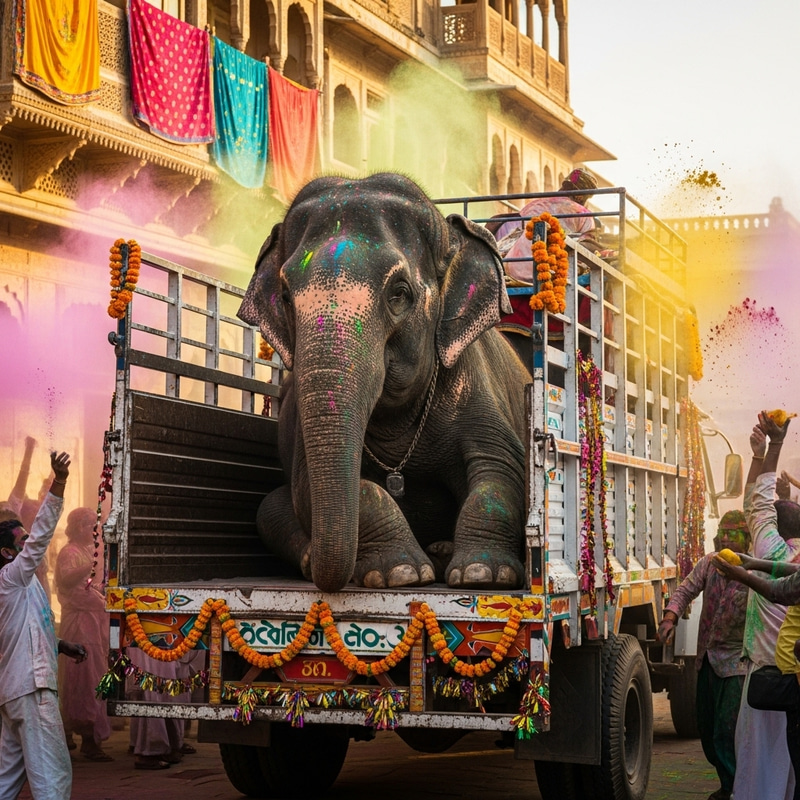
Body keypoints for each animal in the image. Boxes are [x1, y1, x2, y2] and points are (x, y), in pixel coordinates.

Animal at [237, 172, 532, 593]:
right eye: (286, 296)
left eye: (400, 293)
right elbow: (317, 487)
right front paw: (400, 574)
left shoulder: (476, 388)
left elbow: (501, 471)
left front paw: (484, 575)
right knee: (268, 508)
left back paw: (443, 553)